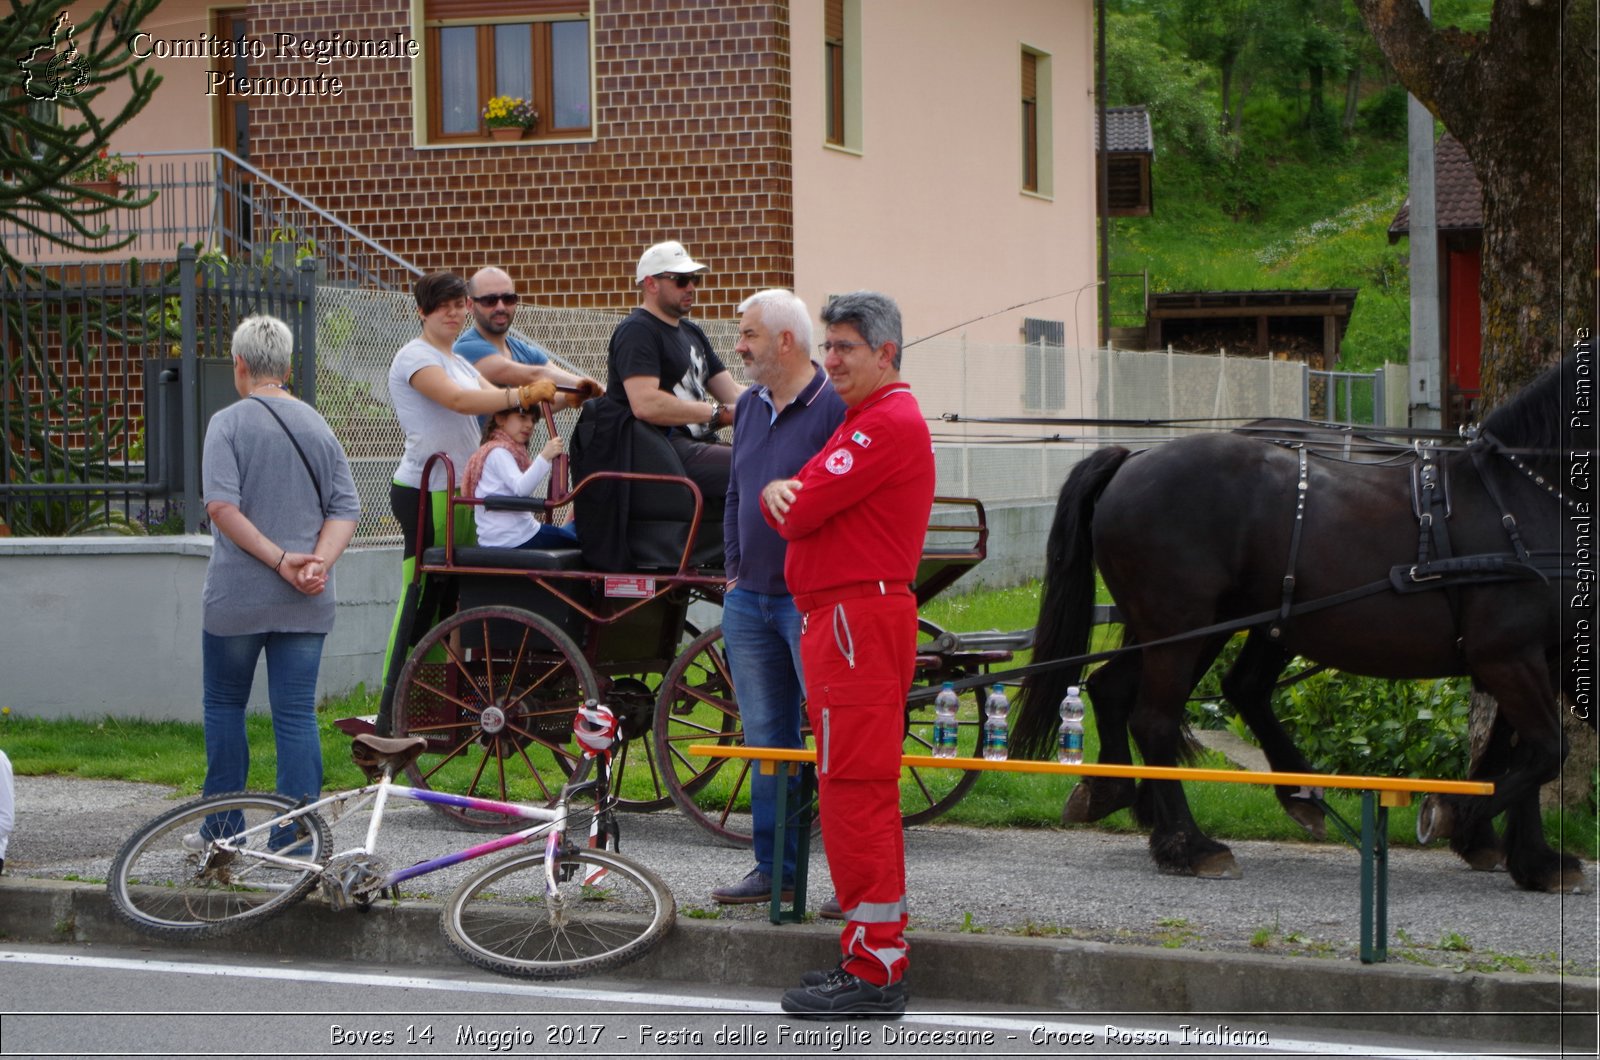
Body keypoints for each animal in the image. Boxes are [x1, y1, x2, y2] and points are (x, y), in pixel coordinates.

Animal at [1017, 357, 1580, 896]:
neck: (1521, 493)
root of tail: (1130, 461)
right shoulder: (1505, 654)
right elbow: (1545, 751)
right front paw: (1453, 816)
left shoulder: (1537, 655)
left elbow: (1524, 751)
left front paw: (1534, 859)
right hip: (1184, 628)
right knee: (1156, 718)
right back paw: (1191, 844)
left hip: (1202, 627)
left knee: (1123, 688)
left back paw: (1122, 792)